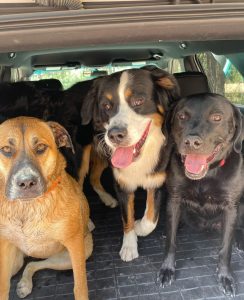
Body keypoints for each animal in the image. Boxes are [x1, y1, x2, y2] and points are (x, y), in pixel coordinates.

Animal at [0, 116, 93, 298]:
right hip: (14, 262)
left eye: (41, 148)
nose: (26, 182)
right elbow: (3, 287)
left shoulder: (74, 245)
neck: (28, 207)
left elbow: (80, 286)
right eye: (6, 149)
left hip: (75, 253)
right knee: (29, 264)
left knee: (33, 264)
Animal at [160, 93, 244, 296]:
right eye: (182, 116)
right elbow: (171, 243)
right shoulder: (174, 200)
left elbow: (225, 249)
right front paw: (167, 268)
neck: (207, 175)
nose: (191, 142)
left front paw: (225, 276)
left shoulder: (231, 207)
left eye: (217, 117)